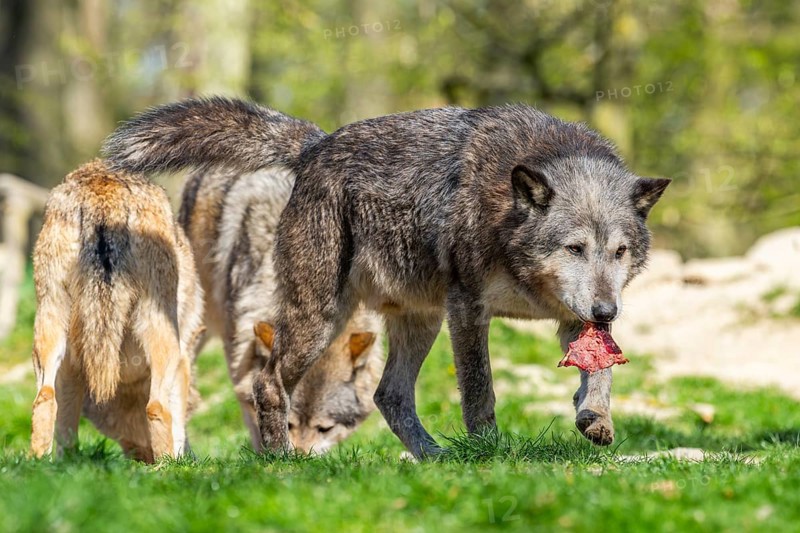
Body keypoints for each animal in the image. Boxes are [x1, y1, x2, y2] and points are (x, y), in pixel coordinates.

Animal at [30, 159, 204, 462]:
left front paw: (66, 464)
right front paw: (180, 459)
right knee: (156, 407)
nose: (141, 460)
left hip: (49, 320)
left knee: (43, 398)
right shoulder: (182, 358)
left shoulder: (72, 366)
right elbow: (176, 423)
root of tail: (103, 191)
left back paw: (37, 463)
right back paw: (166, 466)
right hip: (163, 336)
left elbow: (66, 434)